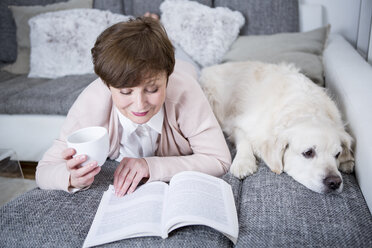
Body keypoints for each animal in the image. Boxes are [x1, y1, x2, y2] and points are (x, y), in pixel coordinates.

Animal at [201, 61, 354, 193]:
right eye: (308, 152)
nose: (335, 182)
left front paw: (347, 160)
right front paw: (243, 162)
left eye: (337, 154)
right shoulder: (238, 123)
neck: (305, 108)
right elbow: (244, 139)